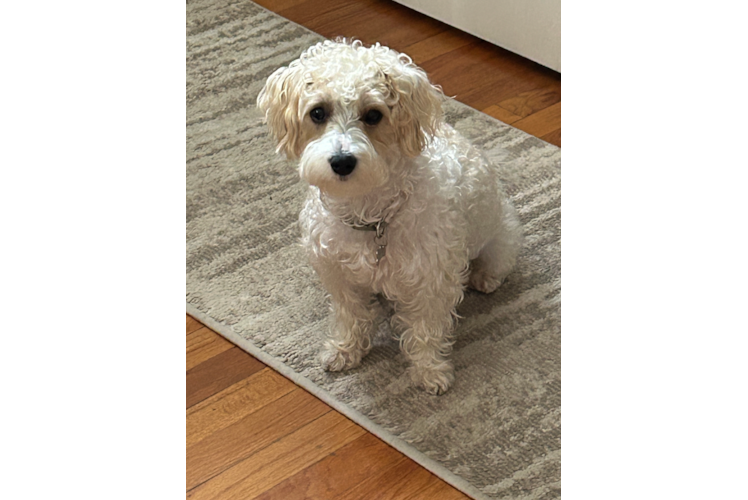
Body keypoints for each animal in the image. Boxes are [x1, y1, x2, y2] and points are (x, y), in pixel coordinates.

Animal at [258, 38, 520, 394]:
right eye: (318, 112)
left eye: (373, 114)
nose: (342, 161)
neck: (370, 215)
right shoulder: (337, 272)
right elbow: (350, 314)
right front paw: (344, 350)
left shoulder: (431, 280)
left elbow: (425, 329)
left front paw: (429, 371)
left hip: (500, 237)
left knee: (496, 262)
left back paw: (485, 278)